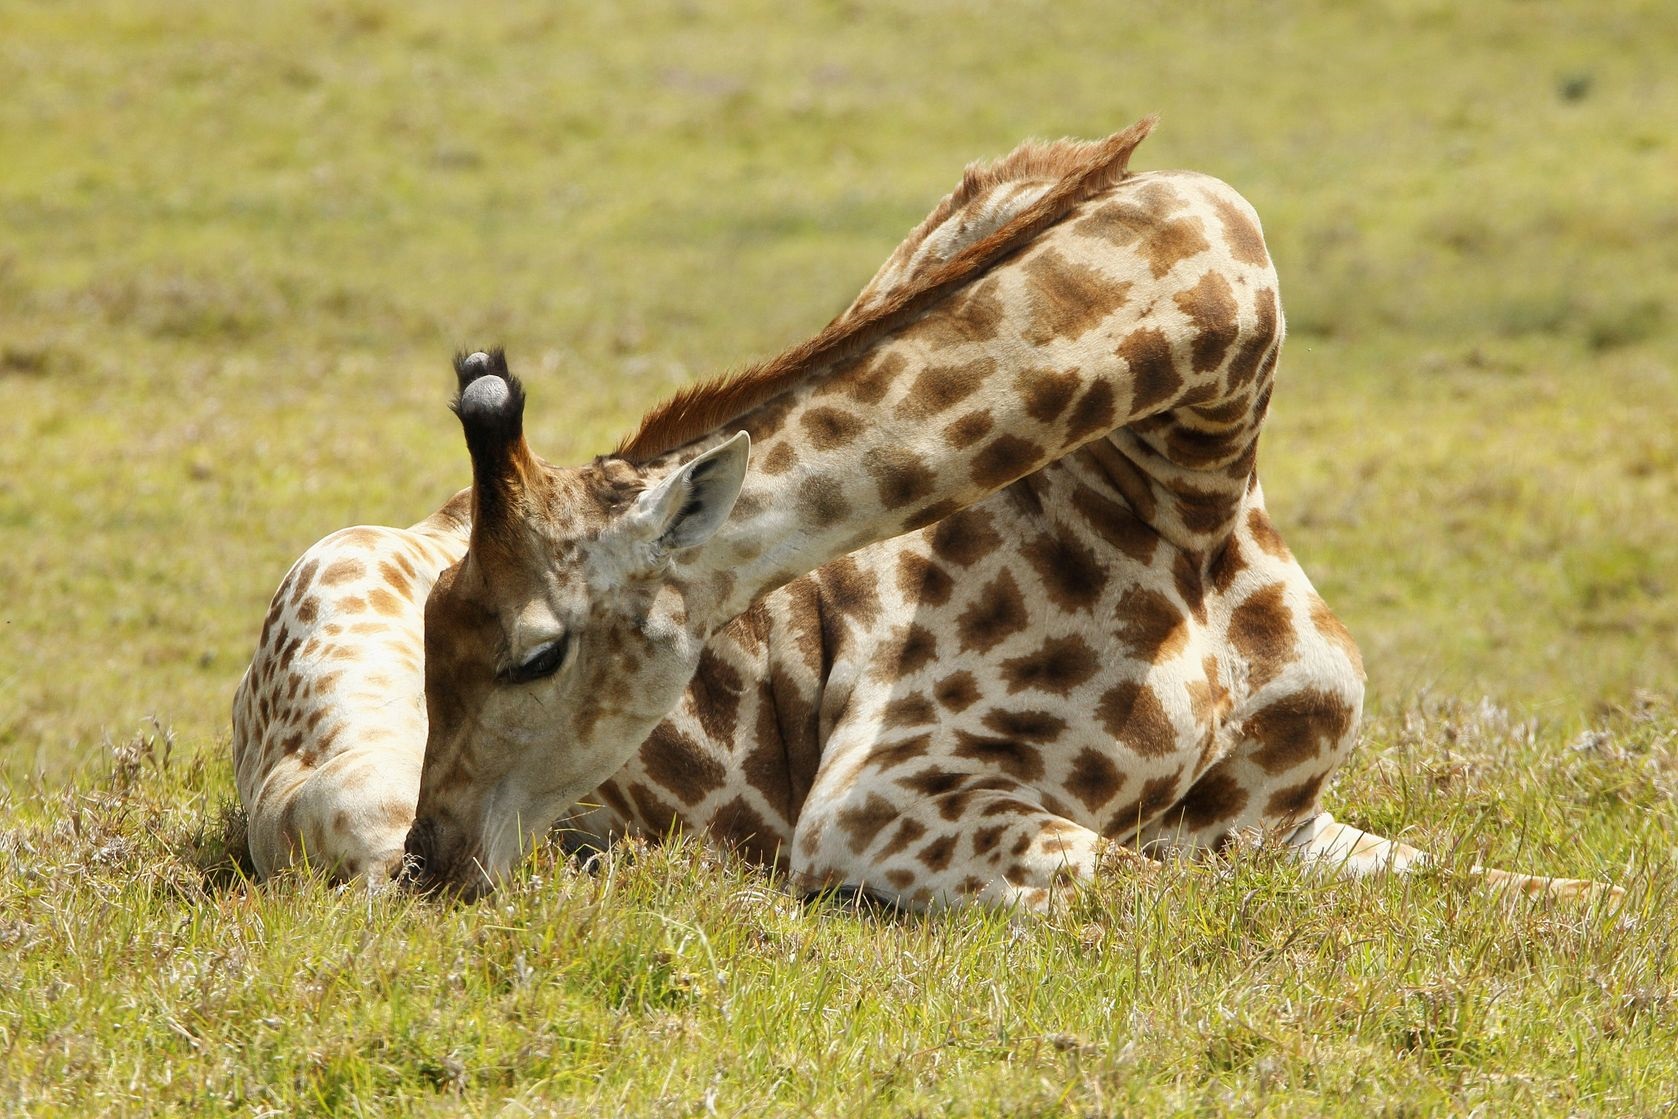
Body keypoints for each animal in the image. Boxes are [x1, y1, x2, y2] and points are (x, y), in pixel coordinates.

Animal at [396, 120, 1624, 912]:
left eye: (533, 653)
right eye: (431, 637)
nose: (429, 854)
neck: (1199, 472)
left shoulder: (1285, 824)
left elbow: (1547, 891)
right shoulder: (875, 805)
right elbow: (1197, 899)